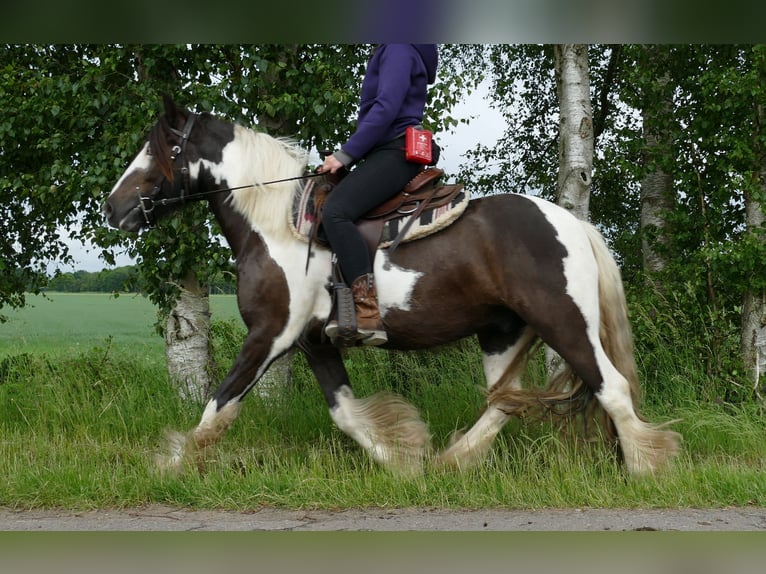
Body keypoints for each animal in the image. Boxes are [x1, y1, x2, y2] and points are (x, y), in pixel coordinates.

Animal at [103, 95, 680, 476]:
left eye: (158, 150)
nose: (112, 208)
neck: (276, 223)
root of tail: (572, 225)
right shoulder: (313, 341)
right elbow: (344, 413)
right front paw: (402, 458)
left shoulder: (270, 335)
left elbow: (218, 408)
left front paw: (170, 464)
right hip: (503, 332)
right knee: (502, 401)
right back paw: (451, 460)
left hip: (564, 322)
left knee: (612, 388)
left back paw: (643, 469)